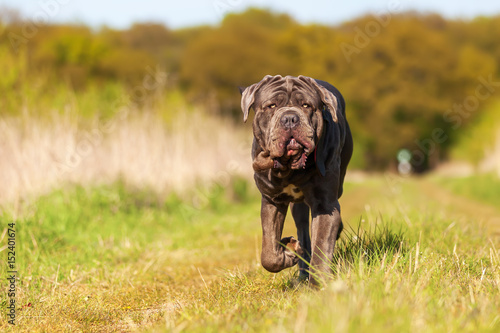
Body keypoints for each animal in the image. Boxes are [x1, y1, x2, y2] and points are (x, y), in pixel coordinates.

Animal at [240, 75, 354, 286]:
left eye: (306, 105)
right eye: (271, 105)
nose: (290, 118)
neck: (289, 169)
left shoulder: (325, 204)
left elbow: (322, 246)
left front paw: (318, 285)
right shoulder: (272, 200)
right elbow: (269, 251)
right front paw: (287, 255)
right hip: (297, 207)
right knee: (303, 230)